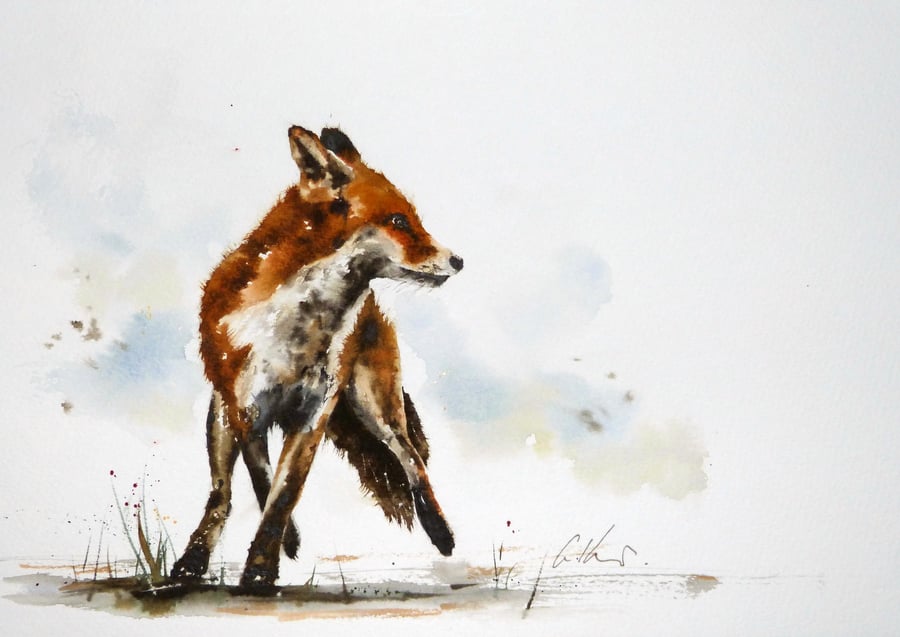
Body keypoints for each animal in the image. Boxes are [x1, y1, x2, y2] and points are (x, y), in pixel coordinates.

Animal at [170, 125, 463, 591]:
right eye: (399, 221)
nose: (458, 260)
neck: (298, 329)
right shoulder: (246, 409)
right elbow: (263, 484)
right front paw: (277, 552)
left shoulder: (314, 412)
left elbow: (283, 494)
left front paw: (260, 567)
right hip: (219, 415)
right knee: (221, 494)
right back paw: (192, 560)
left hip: (374, 404)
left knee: (410, 457)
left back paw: (441, 532)